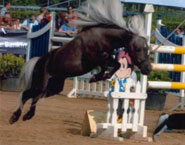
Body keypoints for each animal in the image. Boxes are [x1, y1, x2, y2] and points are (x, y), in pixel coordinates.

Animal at [9, 0, 152, 124]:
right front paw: (96, 77)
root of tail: (39, 61)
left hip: (54, 87)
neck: (103, 37)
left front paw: (97, 77)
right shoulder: (96, 59)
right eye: (138, 48)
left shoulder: (103, 59)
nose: (148, 68)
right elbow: (109, 65)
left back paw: (21, 116)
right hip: (41, 84)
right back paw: (19, 116)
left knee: (32, 96)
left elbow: (114, 66)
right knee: (27, 95)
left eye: (147, 48)